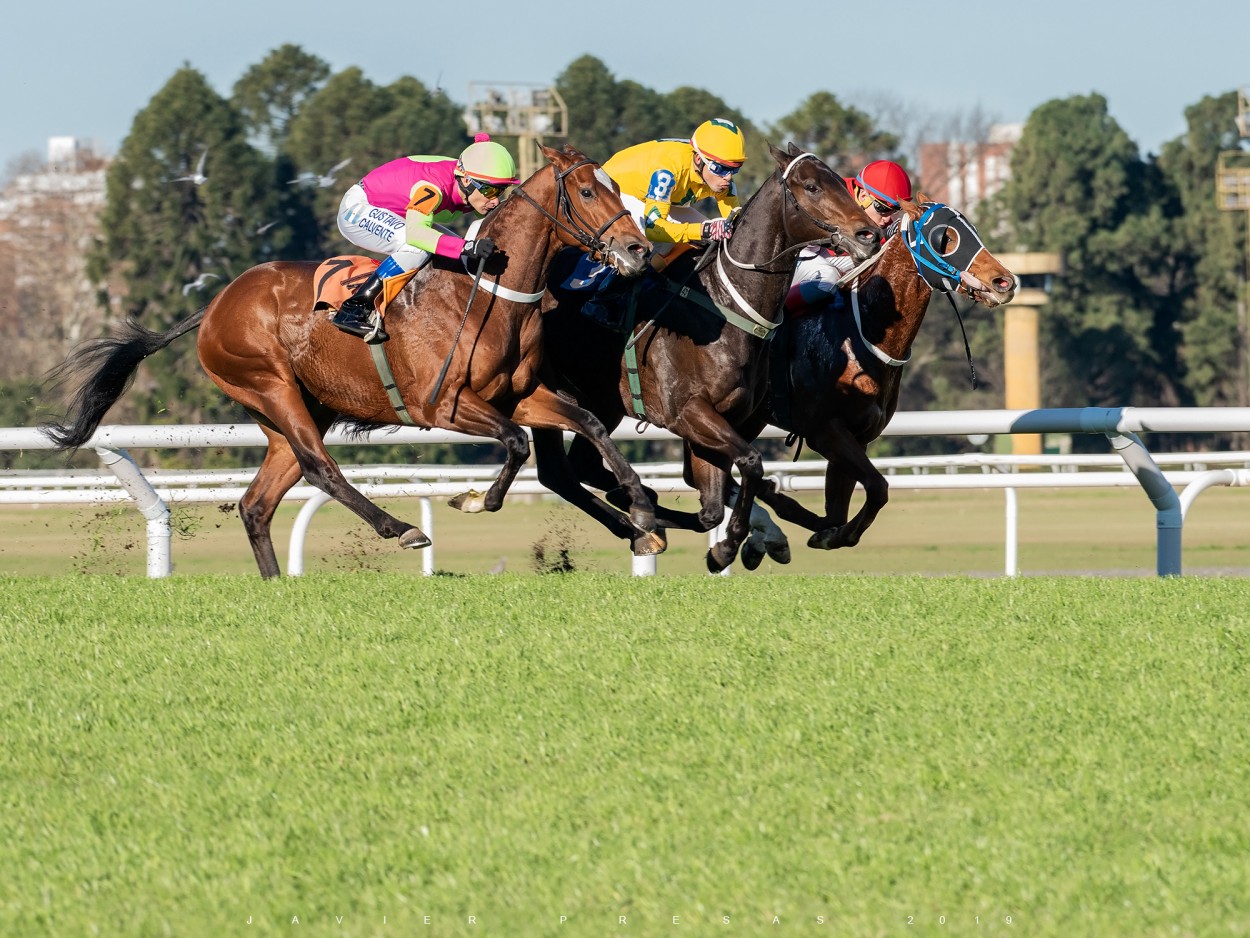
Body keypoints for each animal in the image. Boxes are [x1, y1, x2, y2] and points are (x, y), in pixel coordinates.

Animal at [41, 145, 655, 580]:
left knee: (256, 503)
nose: (638, 250)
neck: (488, 292)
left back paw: (277, 583)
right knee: (320, 469)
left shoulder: (521, 396)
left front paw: (643, 514)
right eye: (586, 190)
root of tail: (214, 306)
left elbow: (590, 423)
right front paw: (476, 499)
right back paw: (400, 527)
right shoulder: (441, 405)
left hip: (296, 409)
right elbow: (516, 442)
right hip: (270, 387)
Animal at [532, 145, 885, 572]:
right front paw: (730, 544)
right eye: (812, 186)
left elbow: (712, 509)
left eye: (839, 181)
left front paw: (722, 543)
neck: (724, 303)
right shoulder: (688, 412)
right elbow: (750, 463)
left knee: (573, 469)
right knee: (561, 473)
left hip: (601, 400)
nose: (868, 234)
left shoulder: (723, 417)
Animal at [735, 196, 1020, 565]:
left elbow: (836, 514)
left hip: (749, 418)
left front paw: (812, 532)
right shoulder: (824, 431)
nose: (1005, 282)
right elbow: (877, 489)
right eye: (946, 237)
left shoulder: (858, 435)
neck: (862, 333)